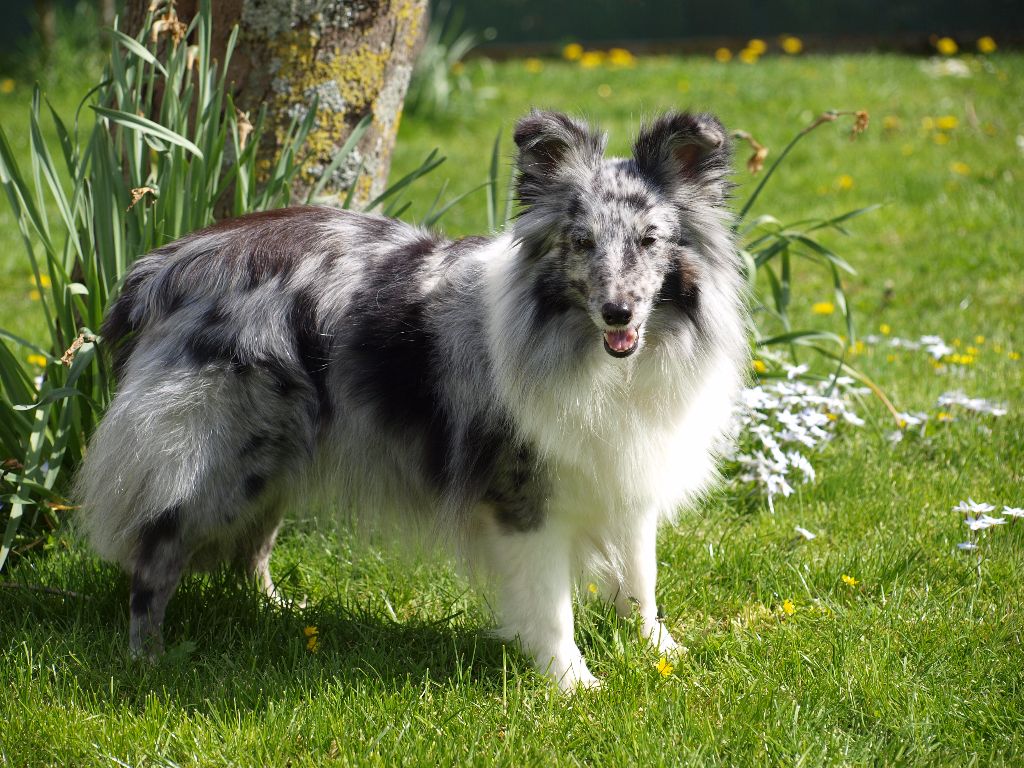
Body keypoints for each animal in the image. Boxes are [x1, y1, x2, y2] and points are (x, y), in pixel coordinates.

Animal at [72, 111, 745, 696]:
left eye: (650, 239)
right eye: (580, 242)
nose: (618, 312)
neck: (600, 362)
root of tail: (168, 263)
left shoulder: (627, 472)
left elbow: (641, 579)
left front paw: (662, 653)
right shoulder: (524, 495)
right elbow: (552, 605)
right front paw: (572, 684)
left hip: (280, 455)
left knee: (251, 547)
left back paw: (280, 611)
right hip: (218, 460)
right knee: (156, 554)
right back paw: (148, 658)